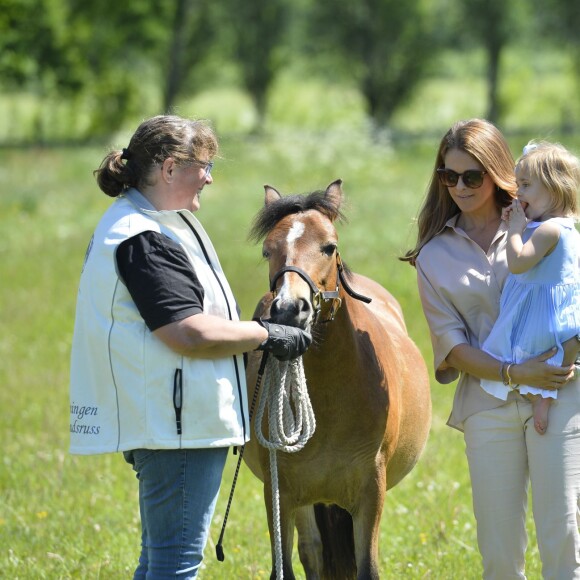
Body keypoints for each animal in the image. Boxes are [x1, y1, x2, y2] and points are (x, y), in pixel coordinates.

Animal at [241, 179, 430, 576]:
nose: (289, 309)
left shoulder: (370, 493)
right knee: (311, 551)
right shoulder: (280, 493)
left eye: (329, 246)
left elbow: (367, 567)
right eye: (268, 251)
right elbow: (285, 566)